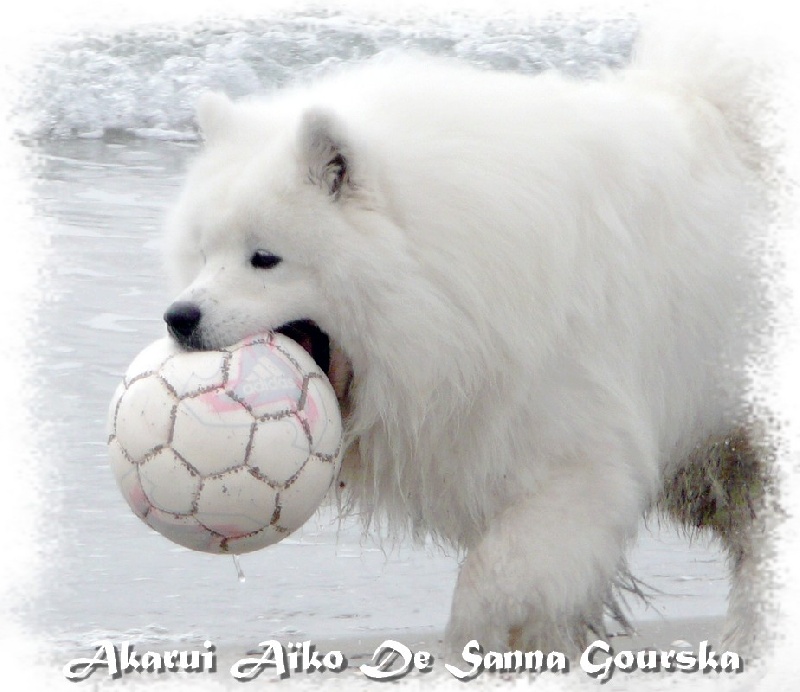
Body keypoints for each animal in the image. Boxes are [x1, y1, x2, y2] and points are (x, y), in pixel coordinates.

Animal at [161, 27, 768, 656]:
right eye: (203, 255)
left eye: (264, 258)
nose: (178, 316)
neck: (442, 281)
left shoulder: (579, 459)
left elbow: (496, 577)